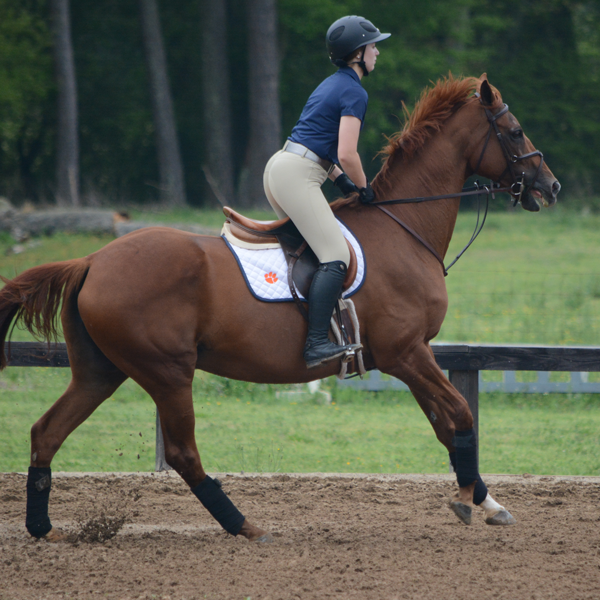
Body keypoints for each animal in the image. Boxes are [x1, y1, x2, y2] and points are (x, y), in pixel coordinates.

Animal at [0, 72, 560, 540]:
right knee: (182, 452)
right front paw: (466, 500)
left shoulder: (409, 356)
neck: (405, 227)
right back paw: (244, 525)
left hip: (101, 370)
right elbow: (461, 414)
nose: (550, 186)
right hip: (166, 370)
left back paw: (41, 527)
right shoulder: (406, 353)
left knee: (46, 431)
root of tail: (92, 260)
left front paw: (489, 503)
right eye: (514, 132)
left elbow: (446, 426)